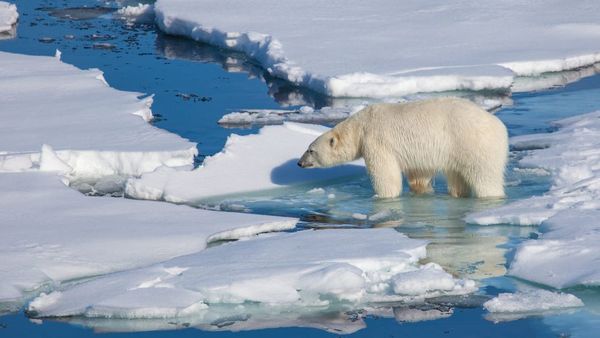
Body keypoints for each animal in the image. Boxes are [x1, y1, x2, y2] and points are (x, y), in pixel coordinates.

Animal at [298, 97, 508, 198]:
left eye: (310, 150)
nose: (300, 163)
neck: (360, 126)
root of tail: (500, 127)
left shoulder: (376, 140)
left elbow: (386, 175)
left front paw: (383, 196)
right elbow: (419, 176)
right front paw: (420, 190)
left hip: (474, 144)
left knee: (484, 177)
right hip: (456, 150)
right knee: (458, 178)